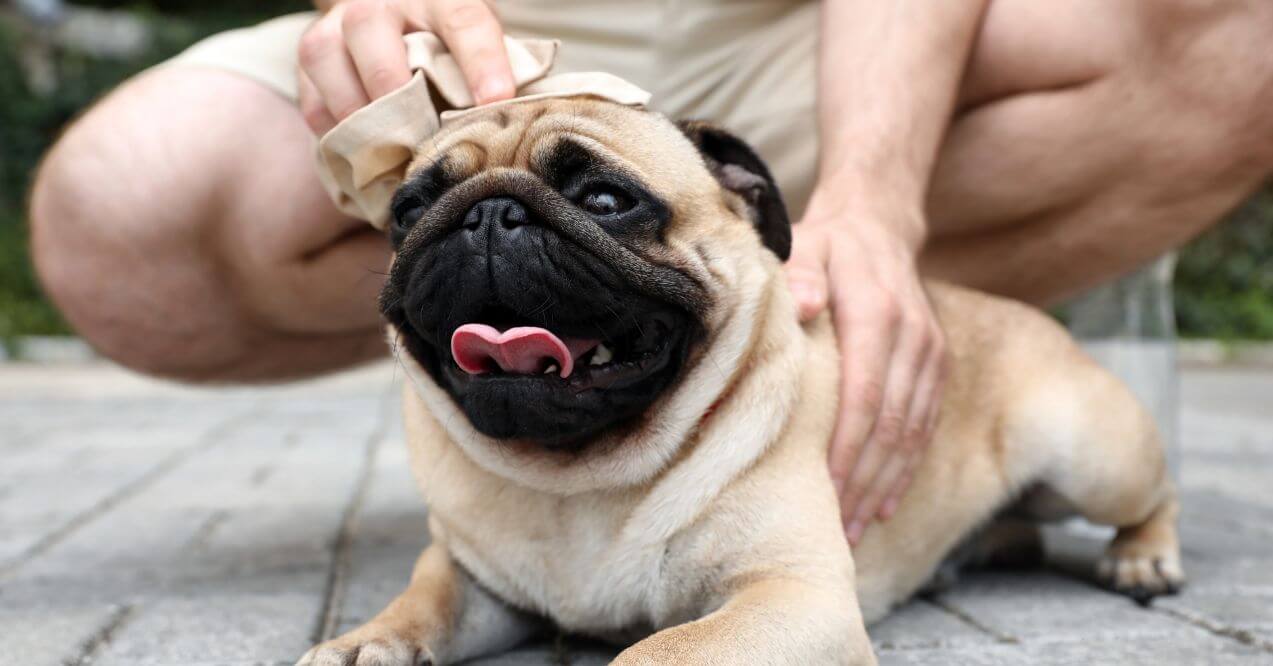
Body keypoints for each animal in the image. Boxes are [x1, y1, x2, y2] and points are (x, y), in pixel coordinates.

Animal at [297, 99, 1181, 666]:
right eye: (409, 210)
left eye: (606, 199)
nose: (485, 214)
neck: (578, 477)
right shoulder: (474, 580)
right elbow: (421, 601)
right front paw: (360, 642)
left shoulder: (788, 598)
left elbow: (660, 650)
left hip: (1088, 456)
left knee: (1152, 493)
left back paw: (1142, 560)